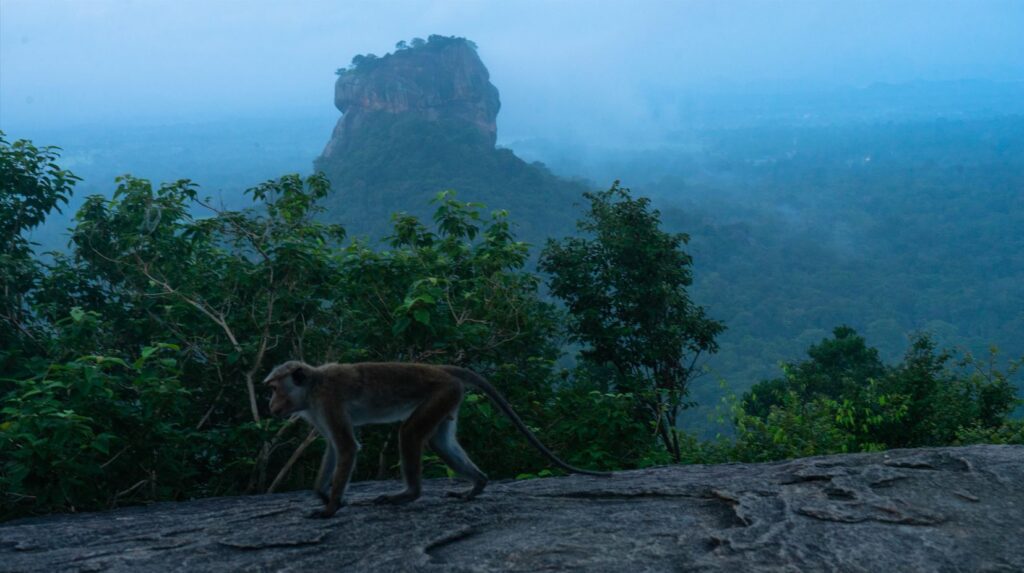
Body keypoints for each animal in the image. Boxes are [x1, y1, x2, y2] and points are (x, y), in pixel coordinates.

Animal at [264, 360, 610, 517]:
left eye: (275, 388)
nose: (270, 404)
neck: (313, 385)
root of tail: (442, 369)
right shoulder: (316, 411)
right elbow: (335, 449)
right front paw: (323, 494)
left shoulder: (328, 401)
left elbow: (347, 447)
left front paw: (331, 507)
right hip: (450, 398)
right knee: (439, 443)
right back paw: (477, 485)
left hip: (440, 392)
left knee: (409, 434)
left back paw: (409, 494)